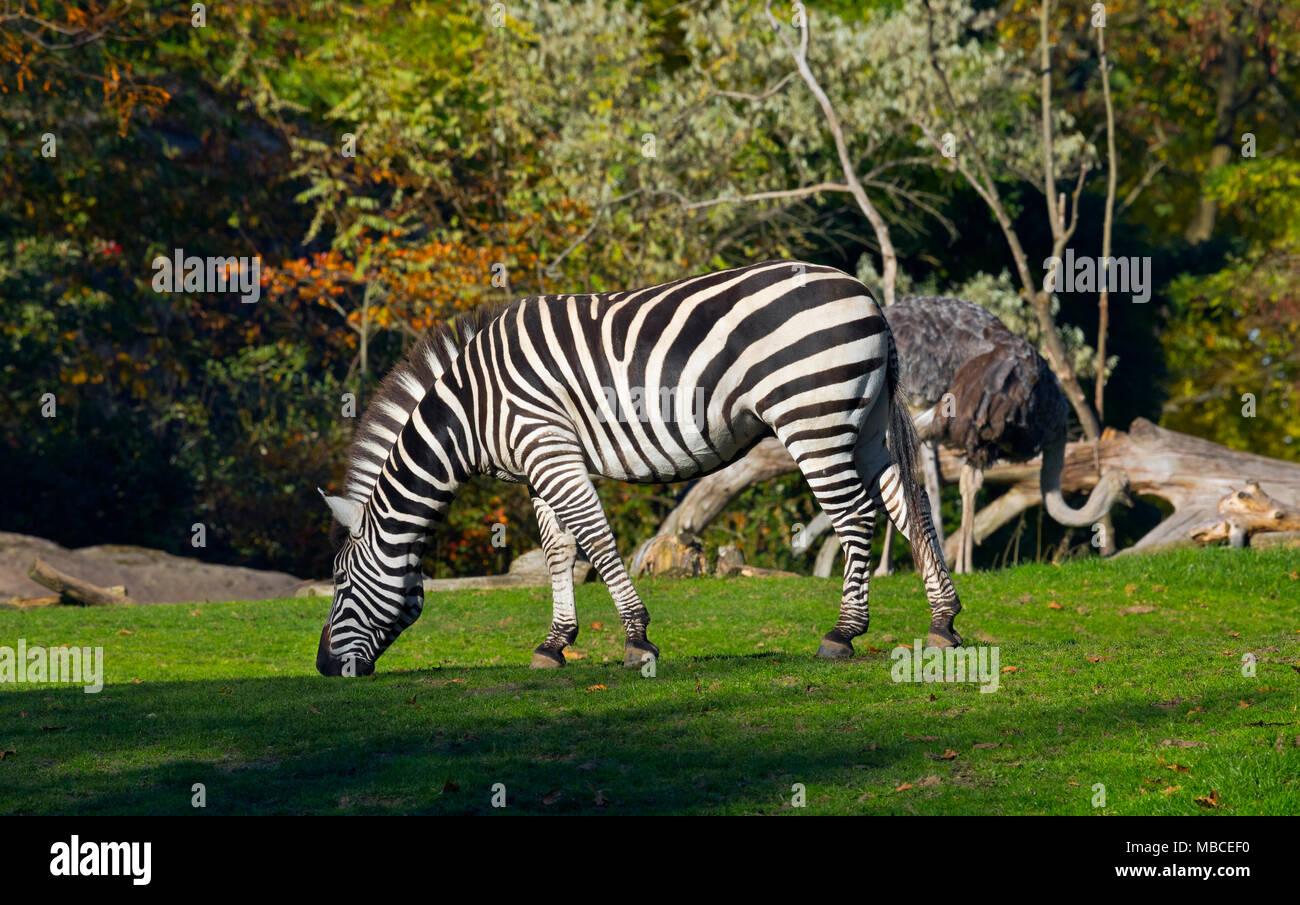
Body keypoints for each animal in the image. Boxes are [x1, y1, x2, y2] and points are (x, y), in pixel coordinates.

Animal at [318, 257, 961, 676]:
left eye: (342, 582)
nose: (323, 666)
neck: (470, 409)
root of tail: (866, 294)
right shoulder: (538, 465)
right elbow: (559, 551)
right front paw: (554, 644)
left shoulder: (549, 446)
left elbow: (597, 542)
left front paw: (637, 639)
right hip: (865, 420)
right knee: (911, 505)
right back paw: (943, 624)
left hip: (813, 416)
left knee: (856, 515)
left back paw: (844, 633)